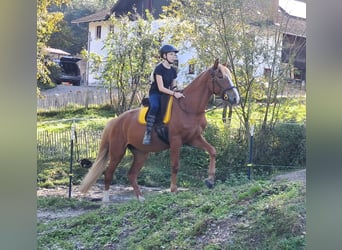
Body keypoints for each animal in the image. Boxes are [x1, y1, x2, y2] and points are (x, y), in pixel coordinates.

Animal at [78, 58, 239, 201]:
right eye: (220, 76)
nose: (235, 99)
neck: (188, 107)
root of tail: (115, 121)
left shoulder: (194, 138)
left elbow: (212, 151)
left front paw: (210, 180)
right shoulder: (176, 141)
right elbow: (175, 165)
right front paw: (173, 190)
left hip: (140, 153)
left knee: (131, 174)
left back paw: (140, 198)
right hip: (117, 152)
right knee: (108, 173)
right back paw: (105, 202)